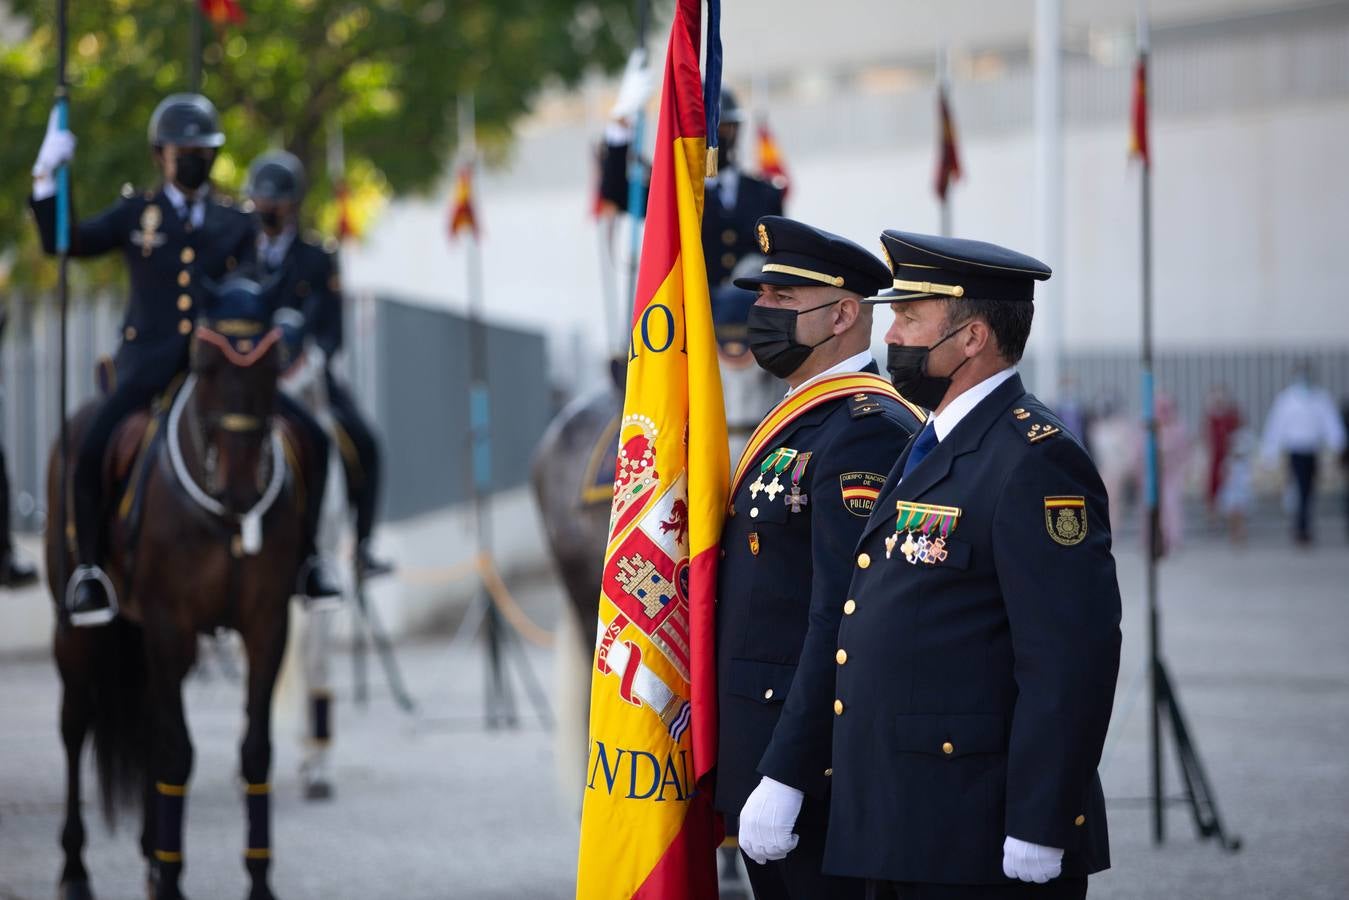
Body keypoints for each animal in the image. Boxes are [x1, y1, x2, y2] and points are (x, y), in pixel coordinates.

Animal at [46, 292, 308, 895]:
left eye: (271, 363)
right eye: (206, 366)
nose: (240, 487)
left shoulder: (267, 626)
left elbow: (254, 751)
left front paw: (258, 880)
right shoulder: (170, 624)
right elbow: (176, 752)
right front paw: (171, 879)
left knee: (145, 722)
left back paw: (149, 850)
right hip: (78, 633)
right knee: (74, 727)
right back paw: (76, 868)